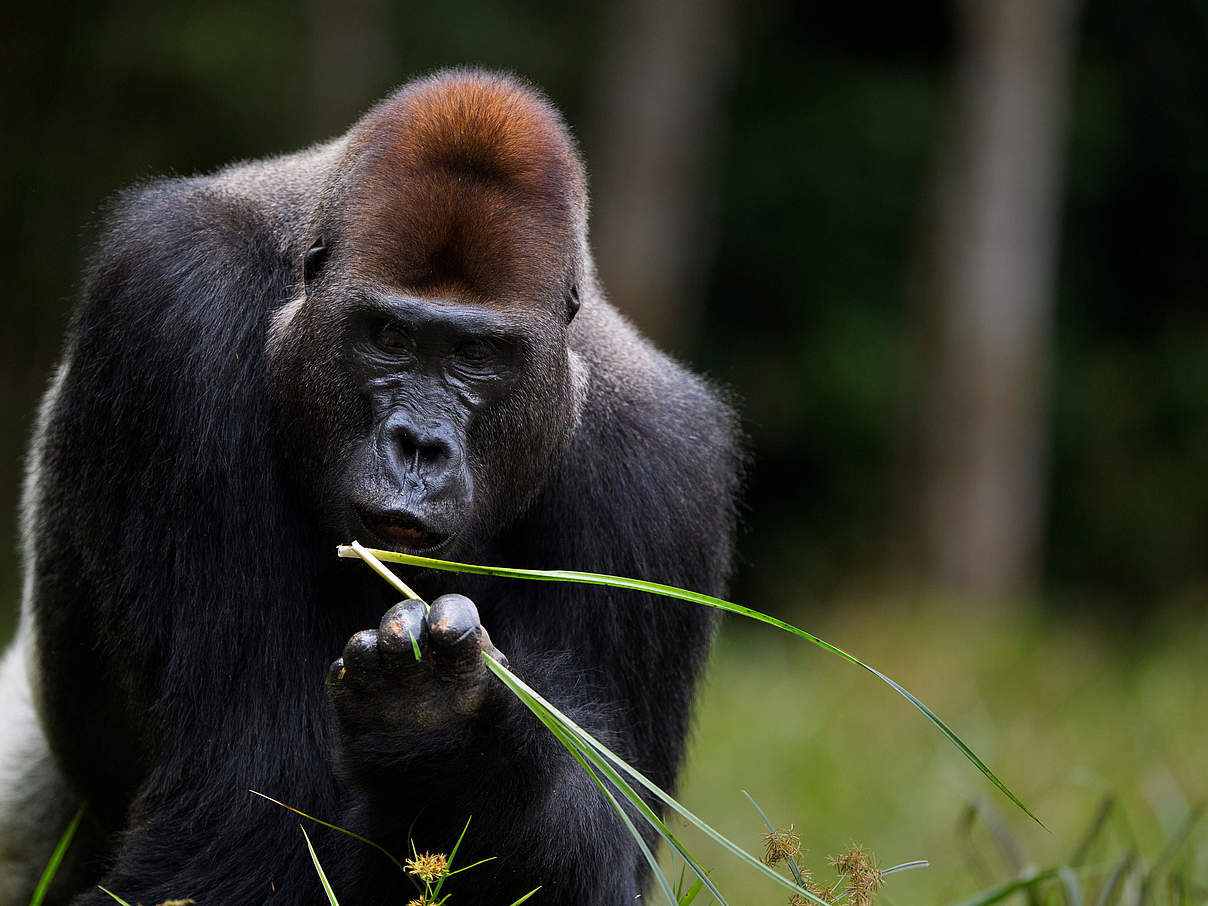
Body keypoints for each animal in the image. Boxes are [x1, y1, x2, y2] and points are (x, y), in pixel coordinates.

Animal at [0, 70, 739, 906]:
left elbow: (601, 846)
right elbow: (245, 800)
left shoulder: (665, 468)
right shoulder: (176, 306)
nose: (417, 447)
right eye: (391, 338)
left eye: (477, 355)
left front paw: (454, 732)